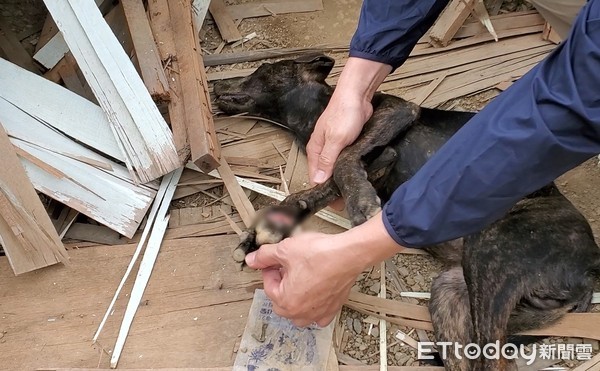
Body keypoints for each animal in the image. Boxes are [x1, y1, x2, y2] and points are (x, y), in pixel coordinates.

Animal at [212, 53, 600, 370]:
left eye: (261, 69)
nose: (215, 84)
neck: (314, 114)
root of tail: (589, 271)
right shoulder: (359, 162)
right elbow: (318, 186)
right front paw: (271, 226)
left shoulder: (395, 112)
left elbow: (344, 160)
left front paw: (360, 203)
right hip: (453, 293)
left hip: (493, 258)